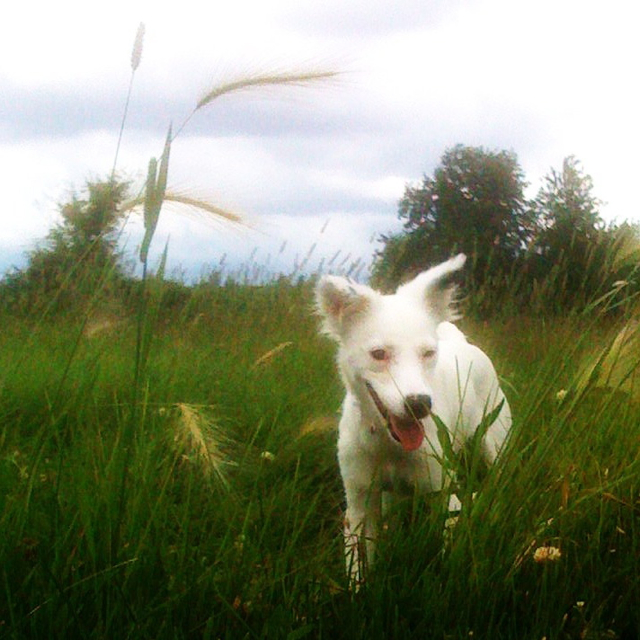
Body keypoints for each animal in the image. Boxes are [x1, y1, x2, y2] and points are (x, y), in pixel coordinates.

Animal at [316, 254, 510, 584]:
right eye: (378, 353)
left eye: (428, 353)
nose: (419, 404)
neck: (388, 443)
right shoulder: (358, 503)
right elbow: (360, 564)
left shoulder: (447, 496)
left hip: (492, 446)